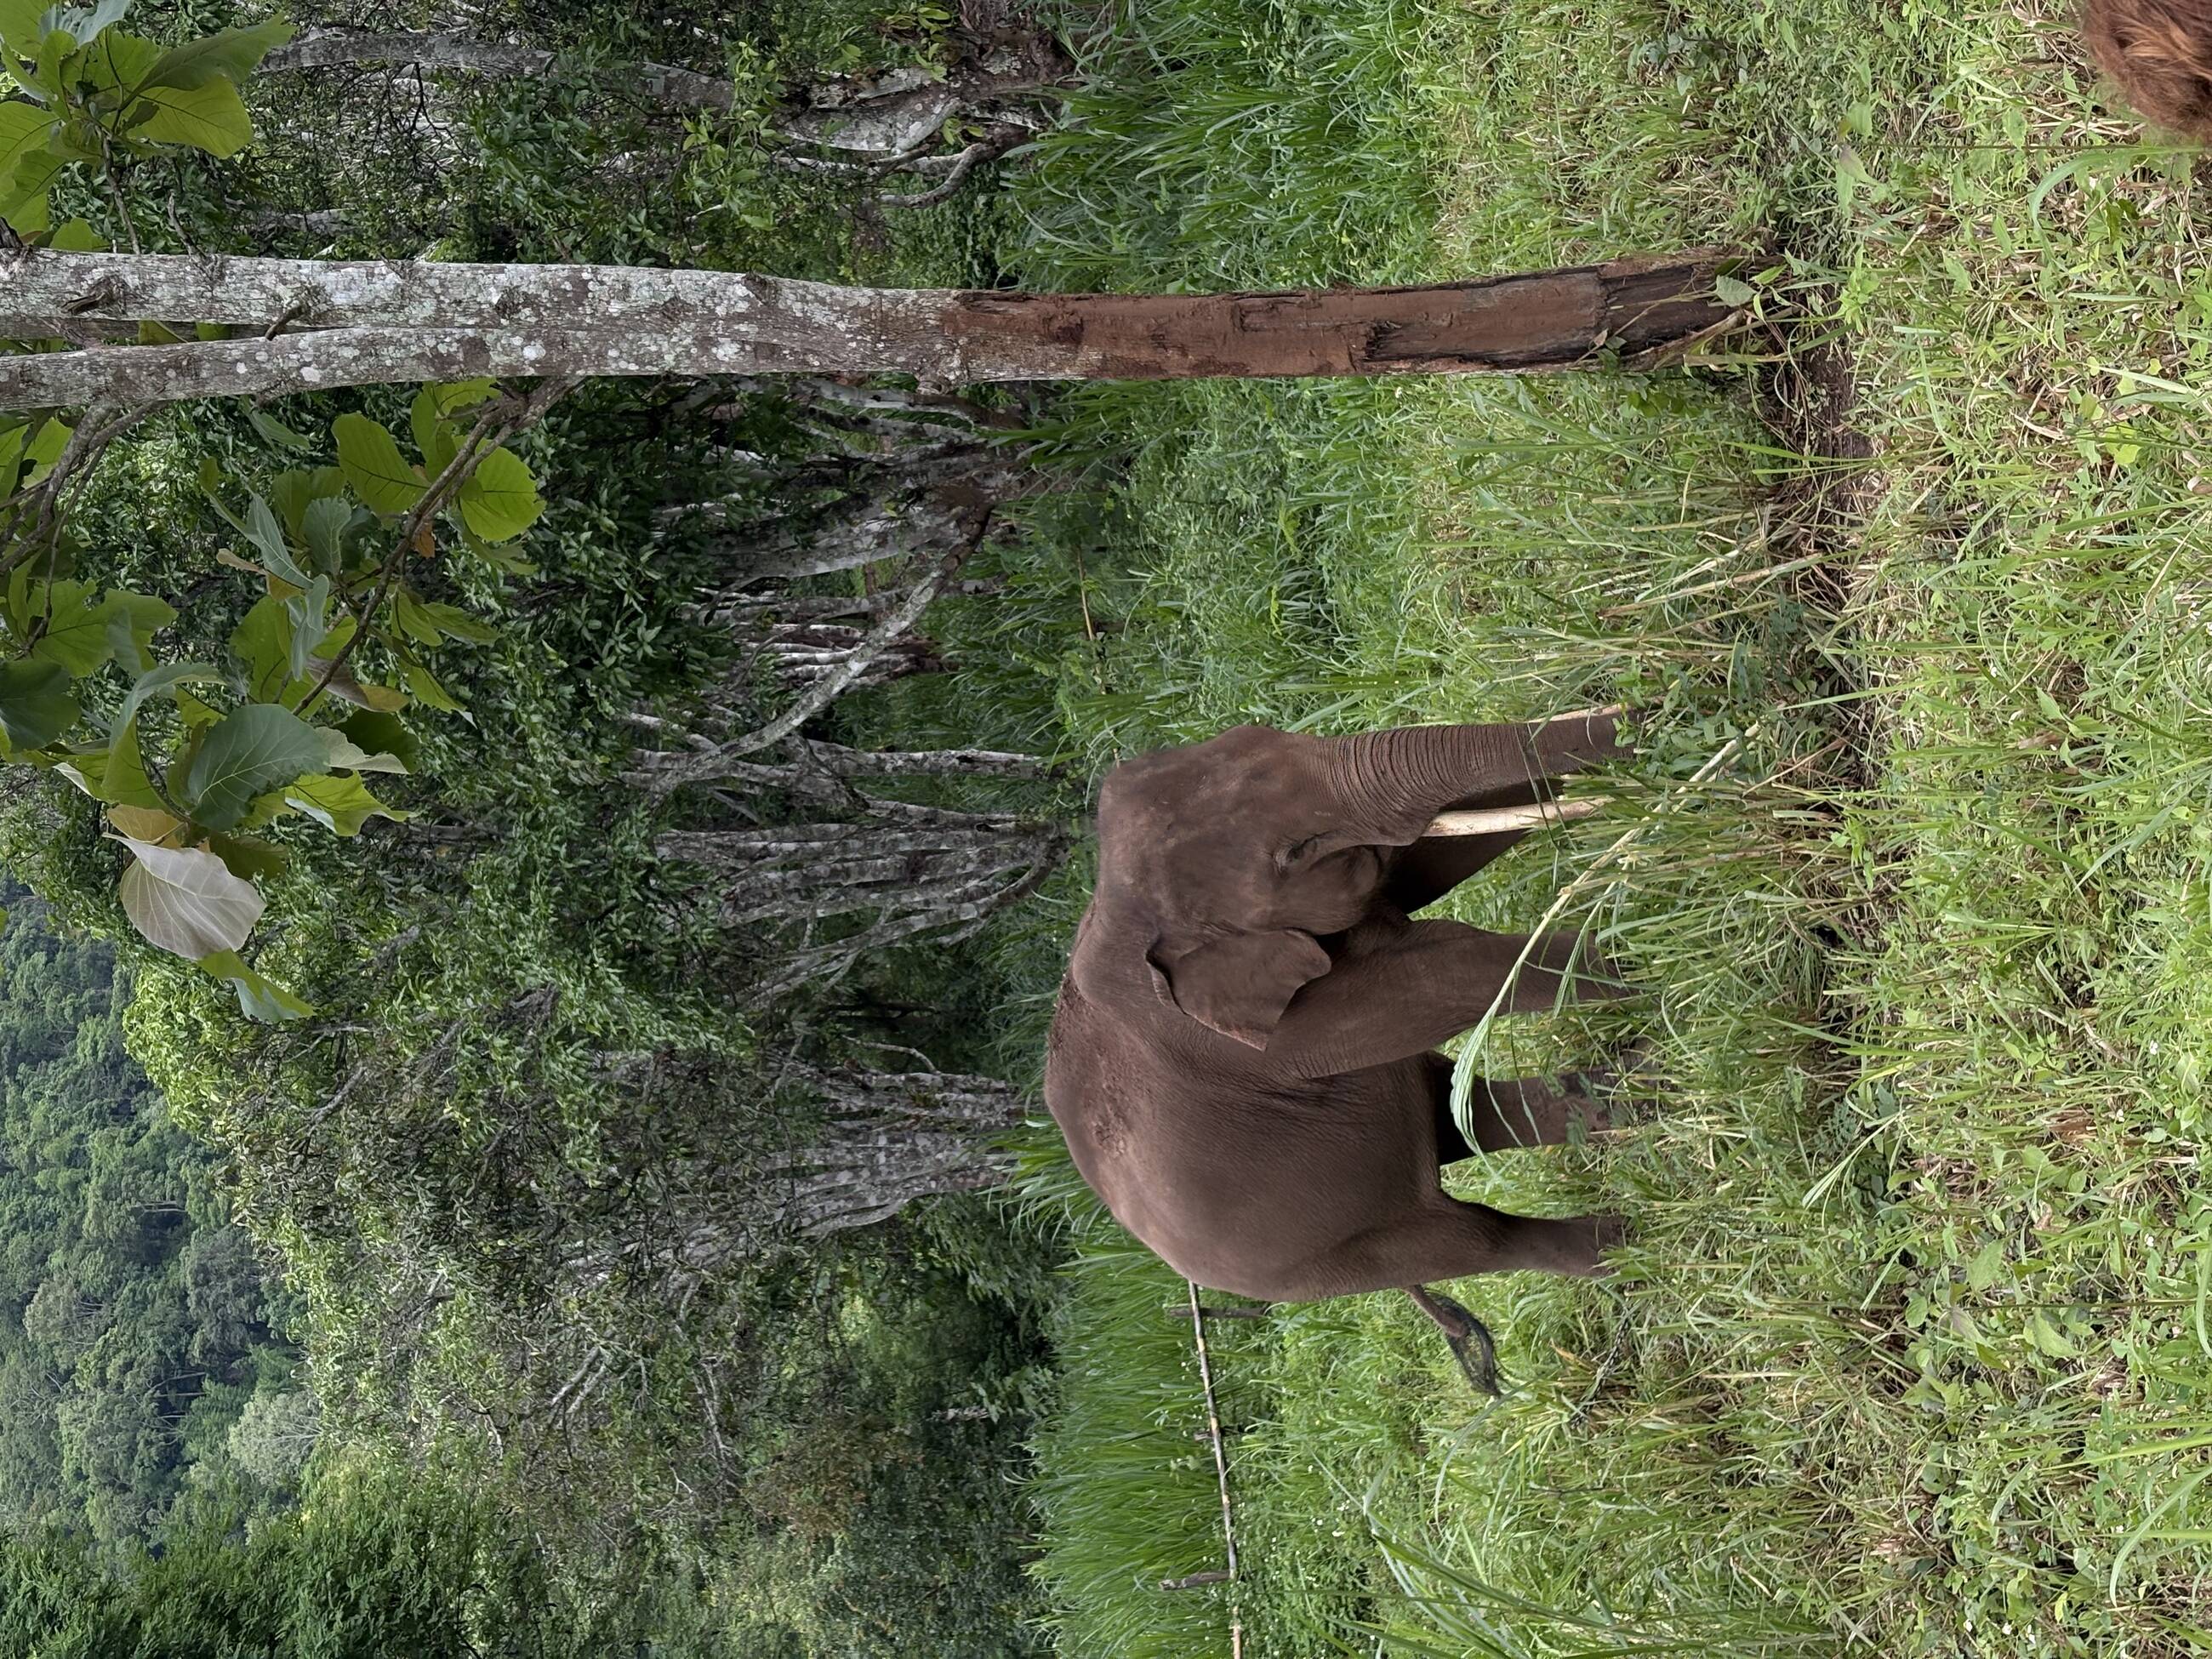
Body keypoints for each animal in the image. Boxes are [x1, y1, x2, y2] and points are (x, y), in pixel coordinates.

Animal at [1043, 711, 1635, 1391]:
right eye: (1296, 852)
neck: (1112, 900)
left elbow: (1435, 860)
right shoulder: (1263, 1037)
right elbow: (1436, 979)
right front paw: (1642, 964)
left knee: (1466, 1111)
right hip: (1314, 1263)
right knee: (1475, 1238)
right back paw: (1634, 1242)